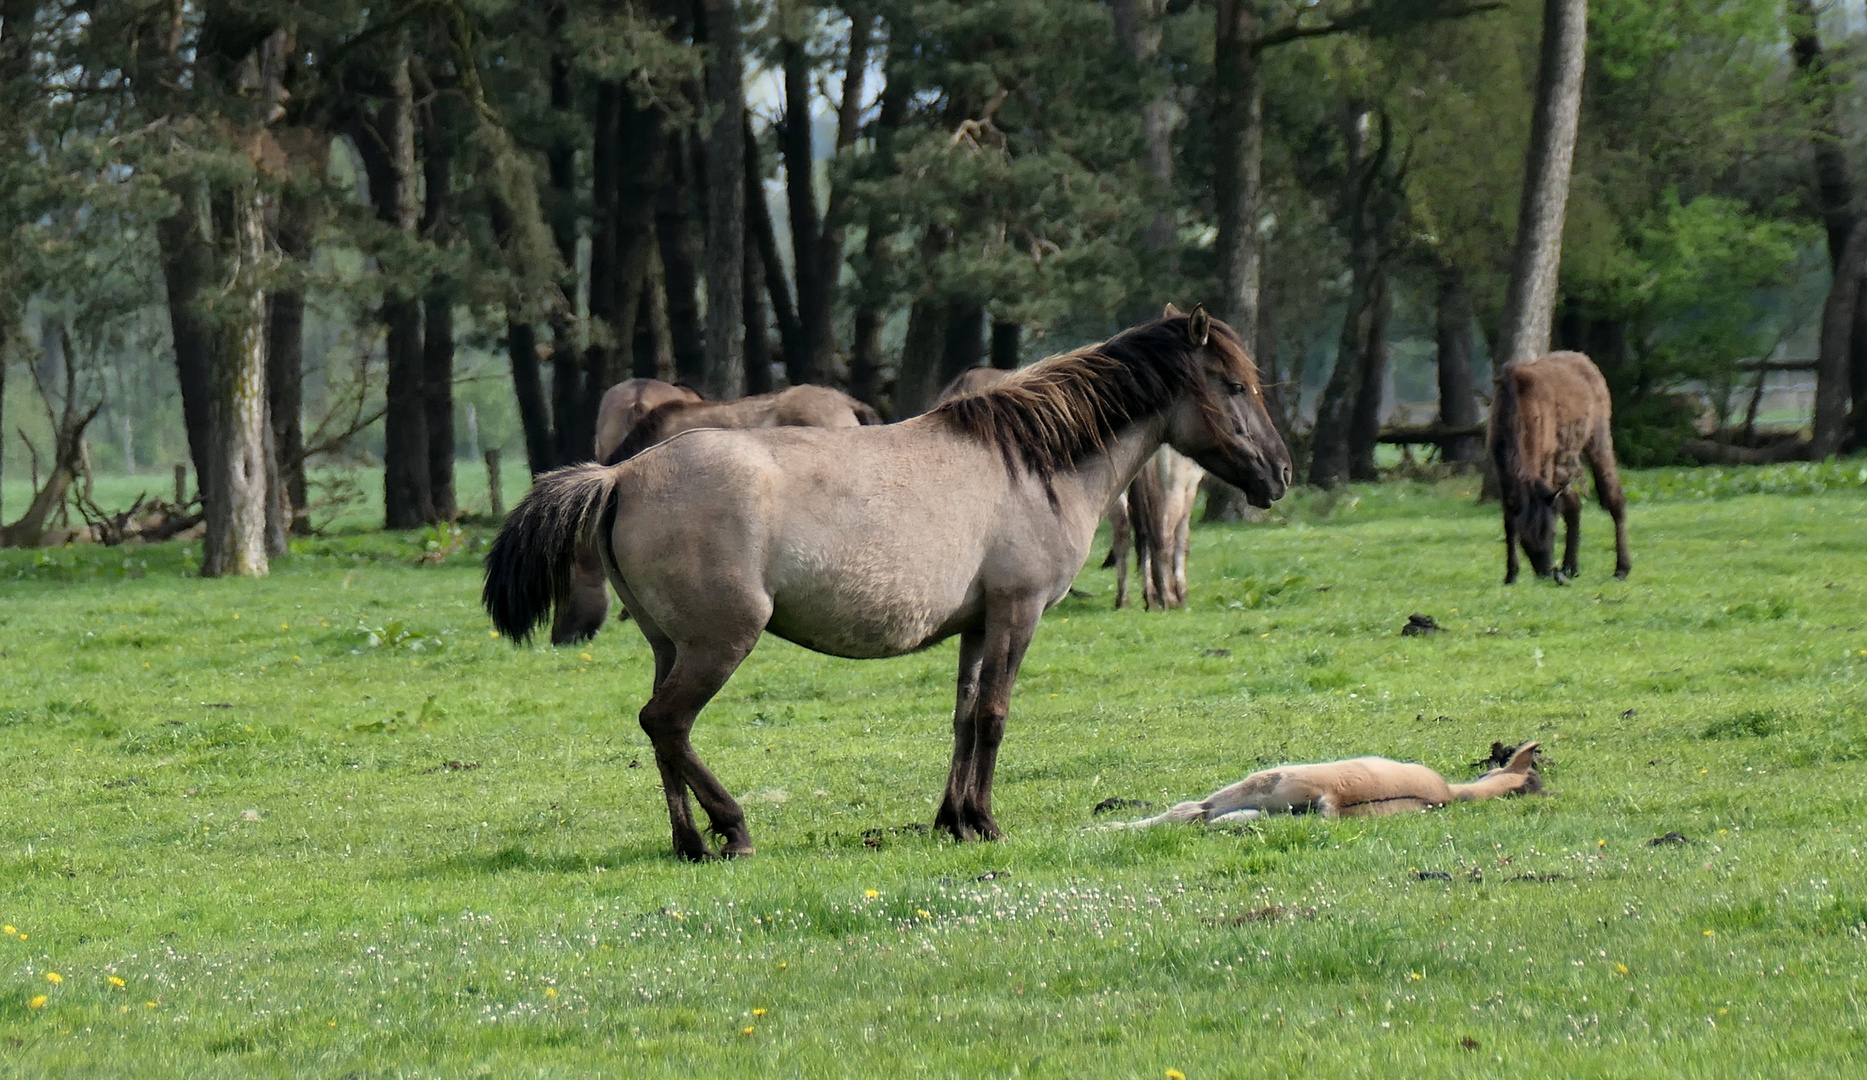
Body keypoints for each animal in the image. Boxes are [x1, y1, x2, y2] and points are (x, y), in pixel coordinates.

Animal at [1486, 351, 1635, 579]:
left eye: (1552, 532)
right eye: (1524, 539)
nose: (1546, 570)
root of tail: (1585, 361)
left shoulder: (1546, 462)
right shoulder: (1503, 470)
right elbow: (1508, 519)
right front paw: (1510, 575)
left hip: (1597, 439)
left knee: (1614, 497)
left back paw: (1621, 568)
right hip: (1565, 464)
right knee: (1574, 504)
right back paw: (1571, 566)